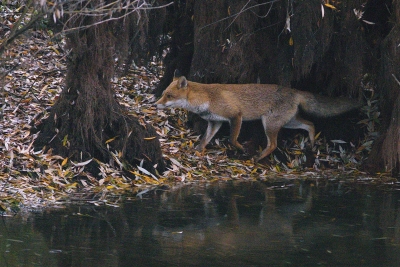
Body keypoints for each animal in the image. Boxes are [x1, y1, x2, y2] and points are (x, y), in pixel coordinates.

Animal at [155, 70, 360, 162]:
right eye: (163, 93)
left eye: (169, 96)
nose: (155, 104)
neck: (207, 98)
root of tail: (294, 90)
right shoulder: (215, 122)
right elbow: (204, 140)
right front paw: (197, 151)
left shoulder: (235, 116)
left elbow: (232, 139)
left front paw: (241, 149)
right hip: (288, 122)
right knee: (310, 124)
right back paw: (310, 143)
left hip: (269, 124)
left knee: (274, 144)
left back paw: (258, 157)